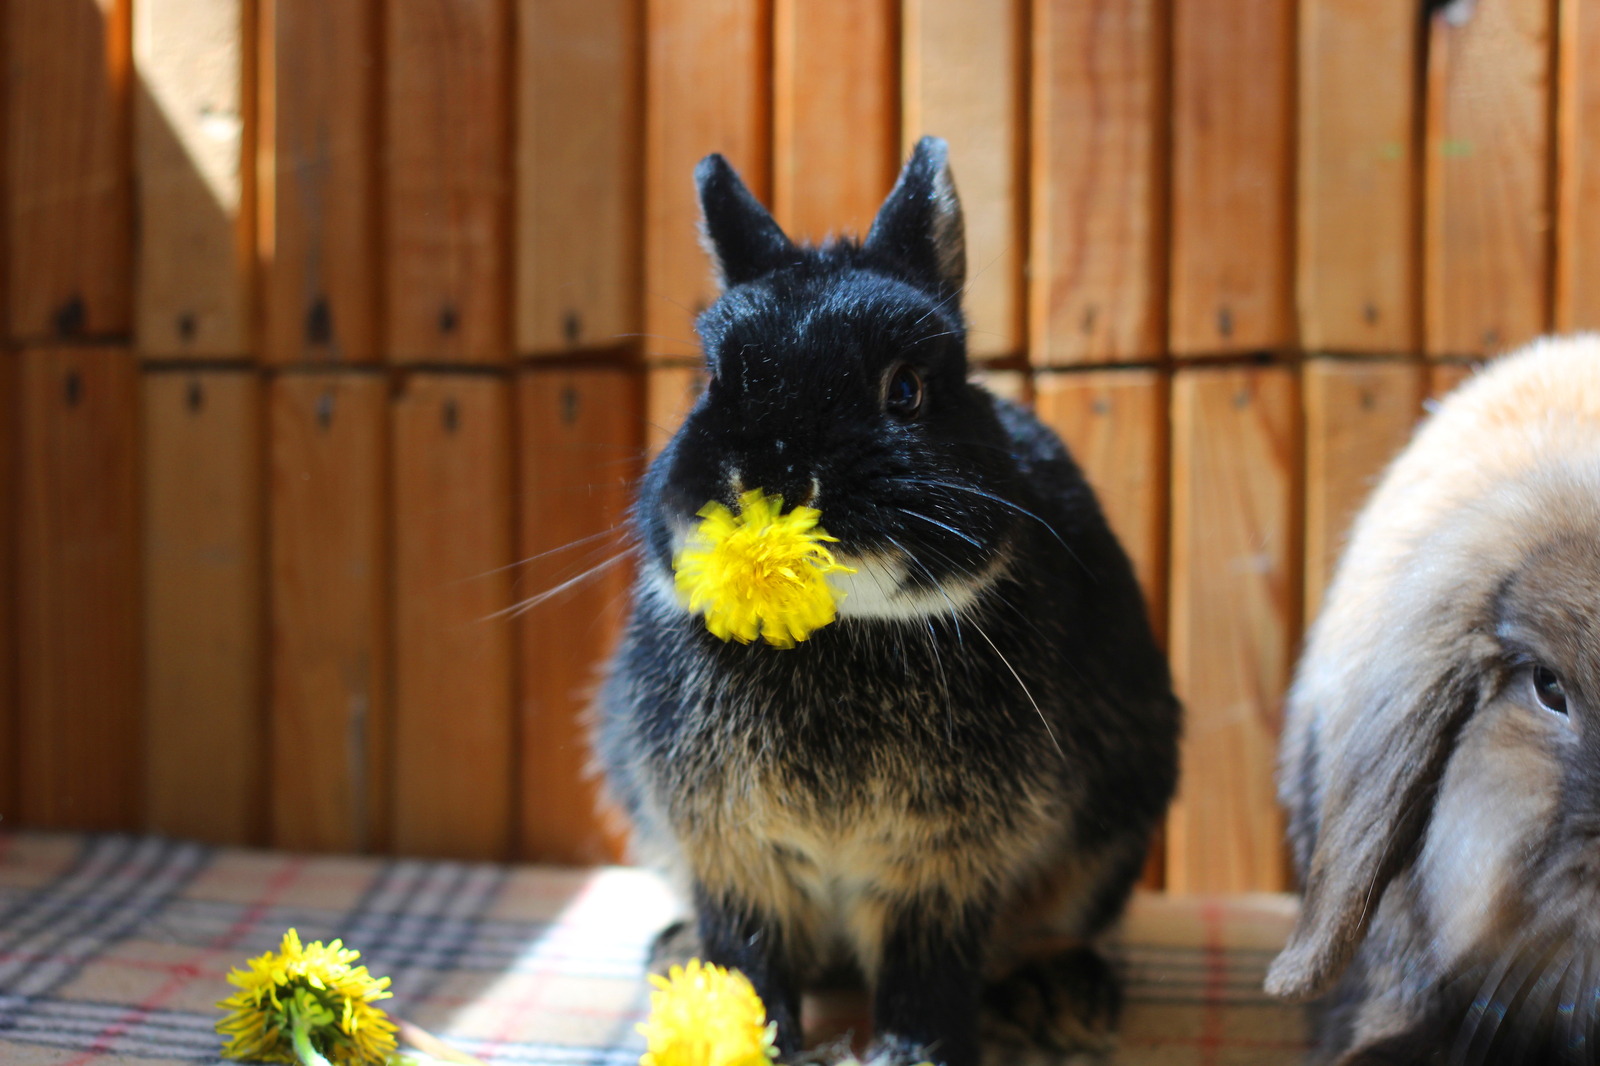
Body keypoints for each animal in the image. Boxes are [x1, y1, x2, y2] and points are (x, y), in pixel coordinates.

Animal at [595, 139, 1184, 1062]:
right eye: (712, 382)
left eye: (904, 390)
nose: (773, 482)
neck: (837, 629)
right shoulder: (732, 854)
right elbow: (751, 956)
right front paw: (747, 1036)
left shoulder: (943, 866)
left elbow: (926, 972)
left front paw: (913, 1053)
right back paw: (675, 958)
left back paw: (1058, 1000)